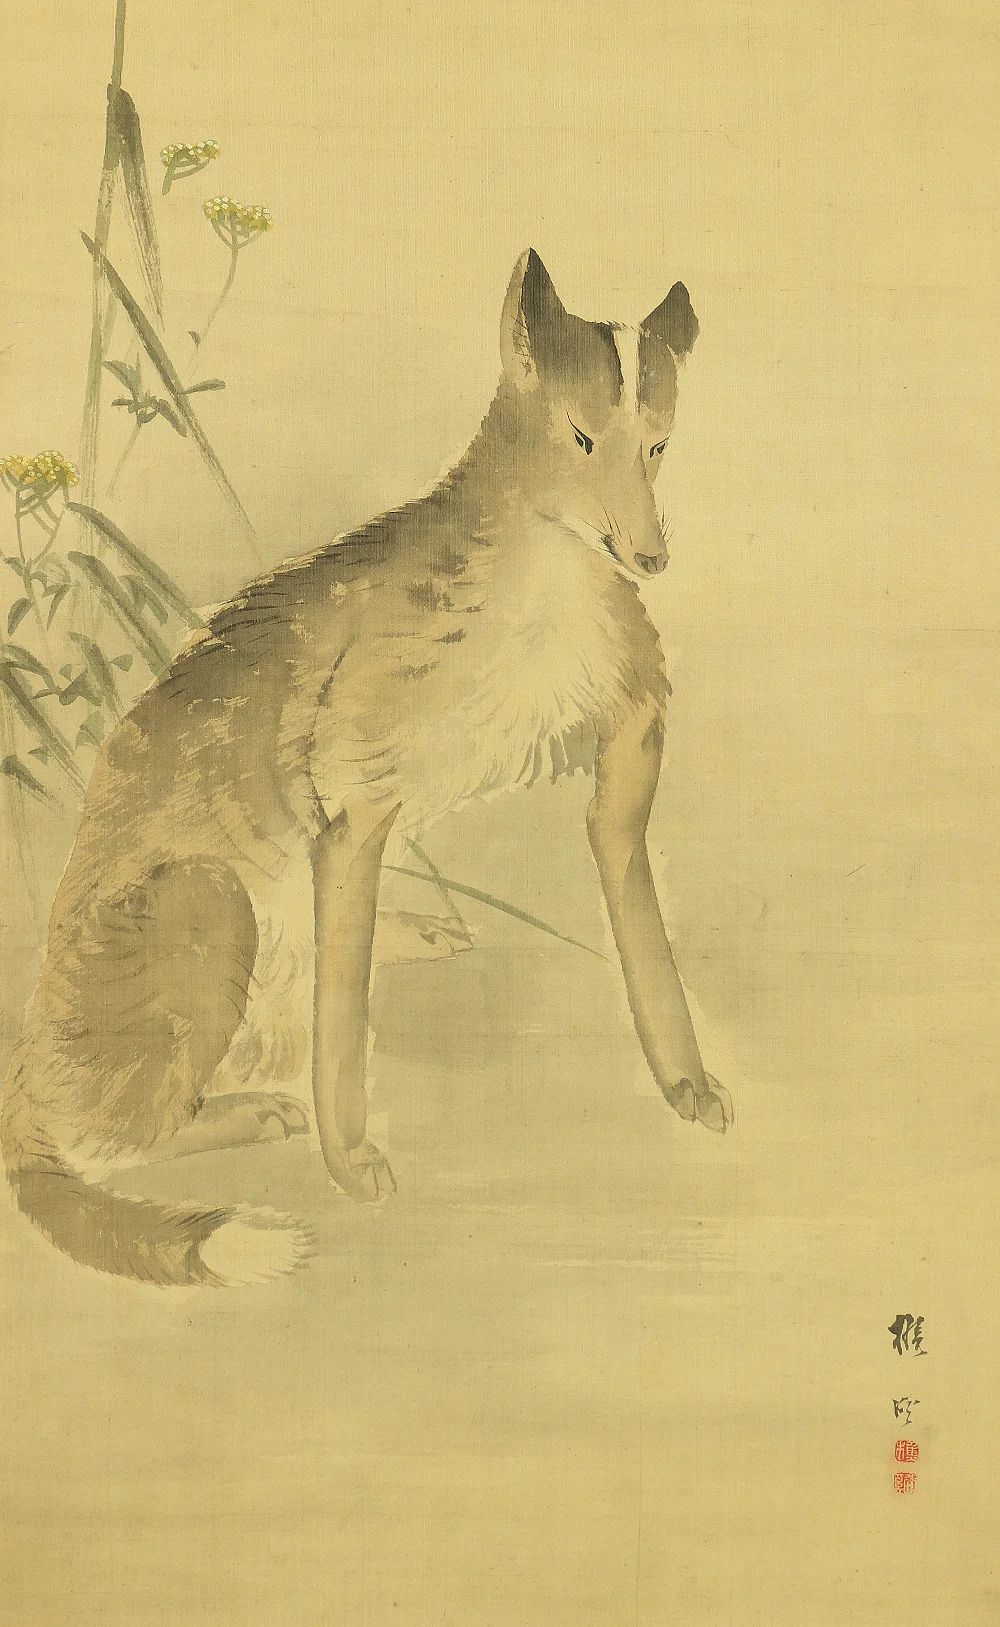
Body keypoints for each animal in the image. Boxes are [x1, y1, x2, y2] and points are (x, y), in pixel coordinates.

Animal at [1, 249, 732, 1287]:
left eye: (662, 444)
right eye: (582, 437)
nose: (650, 555)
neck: (542, 569)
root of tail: (21, 1071)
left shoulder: (628, 740)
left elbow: (641, 923)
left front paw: (687, 1080)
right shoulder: (352, 803)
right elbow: (342, 1029)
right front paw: (351, 1161)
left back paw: (415, 938)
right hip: (210, 900)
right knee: (115, 1136)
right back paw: (254, 1109)